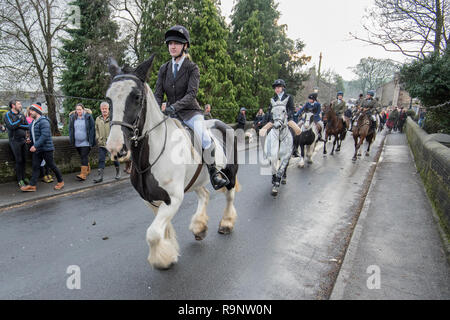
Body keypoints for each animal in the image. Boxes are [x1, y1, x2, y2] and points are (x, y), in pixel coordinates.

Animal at [106, 57, 241, 270]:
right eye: (108, 98)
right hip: (196, 180)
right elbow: (162, 231)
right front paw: (166, 253)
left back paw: (226, 224)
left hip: (230, 174)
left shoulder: (173, 198)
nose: (115, 148)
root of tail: (222, 124)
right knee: (204, 195)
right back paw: (199, 227)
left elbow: (153, 233)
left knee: (229, 196)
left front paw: (162, 259)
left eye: (136, 97)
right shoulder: (151, 199)